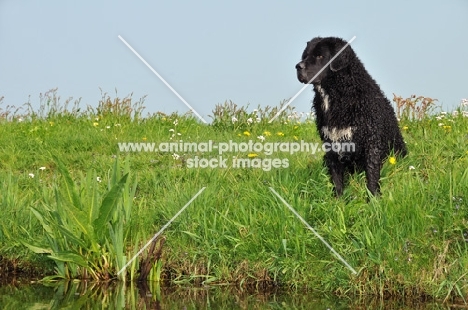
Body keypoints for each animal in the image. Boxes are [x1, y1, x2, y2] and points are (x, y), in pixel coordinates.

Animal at [296, 37, 406, 196]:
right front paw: (338, 199)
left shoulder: (371, 142)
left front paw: (374, 198)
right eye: (305, 56)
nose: (298, 66)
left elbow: (372, 176)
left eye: (320, 56)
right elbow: (336, 179)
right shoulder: (331, 144)